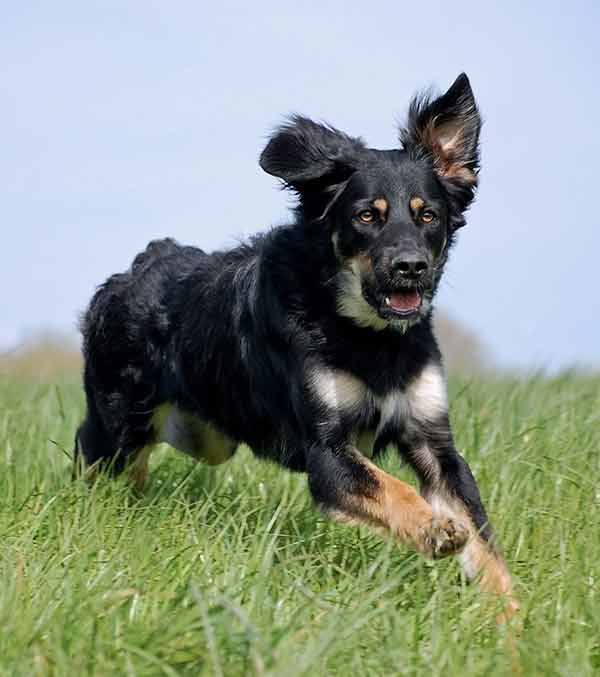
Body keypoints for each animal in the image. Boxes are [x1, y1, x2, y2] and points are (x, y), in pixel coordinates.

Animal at [74, 72, 516, 616]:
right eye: (367, 216)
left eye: (427, 215)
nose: (410, 266)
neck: (366, 336)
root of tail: (140, 264)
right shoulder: (326, 454)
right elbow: (391, 488)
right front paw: (434, 528)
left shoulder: (433, 438)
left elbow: (484, 541)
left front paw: (513, 622)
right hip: (117, 426)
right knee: (94, 457)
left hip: (206, 438)